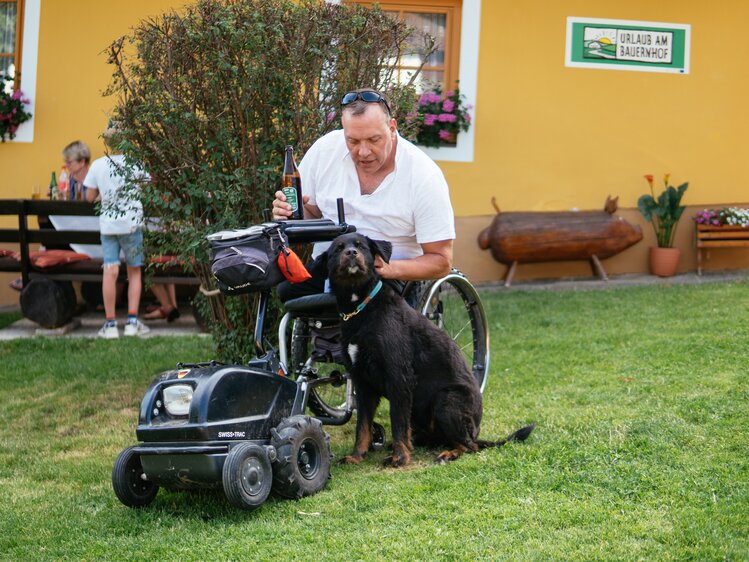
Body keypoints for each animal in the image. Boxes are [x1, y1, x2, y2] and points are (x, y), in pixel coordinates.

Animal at [322, 230, 532, 466]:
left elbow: (397, 422)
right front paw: (357, 456)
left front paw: (400, 458)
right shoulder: (362, 382)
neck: (360, 307)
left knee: (470, 446)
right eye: (338, 248)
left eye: (361, 246)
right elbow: (363, 426)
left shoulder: (399, 378)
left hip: (446, 400)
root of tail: (477, 430)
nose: (351, 253)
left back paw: (448, 453)